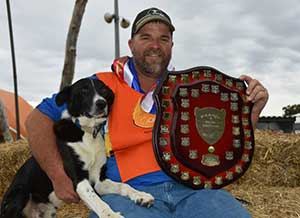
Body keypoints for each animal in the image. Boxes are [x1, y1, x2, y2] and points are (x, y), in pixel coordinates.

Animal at [0, 78, 154, 218]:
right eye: (84, 91)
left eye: (103, 90)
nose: (101, 103)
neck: (87, 132)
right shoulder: (79, 180)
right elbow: (98, 201)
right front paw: (111, 215)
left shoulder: (99, 181)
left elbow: (123, 186)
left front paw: (140, 195)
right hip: (20, 194)